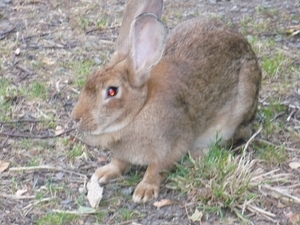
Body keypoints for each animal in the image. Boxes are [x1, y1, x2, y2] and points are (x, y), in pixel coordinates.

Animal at [71, 0, 262, 204]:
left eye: (112, 91)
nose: (76, 118)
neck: (140, 109)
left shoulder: (172, 145)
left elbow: (156, 168)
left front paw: (144, 191)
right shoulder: (123, 154)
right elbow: (119, 162)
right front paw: (103, 173)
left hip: (240, 108)